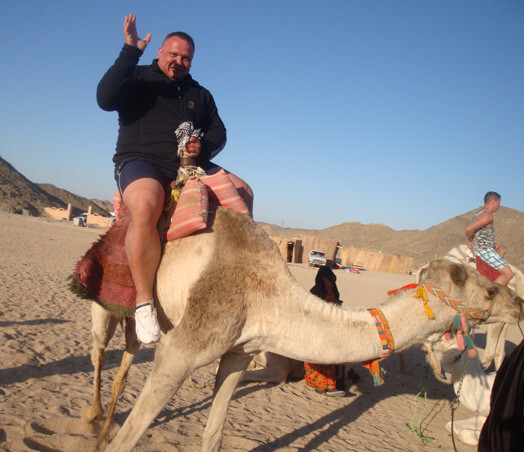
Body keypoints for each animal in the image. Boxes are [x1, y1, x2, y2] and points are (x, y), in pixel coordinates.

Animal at [84, 207, 520, 450]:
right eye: (488, 287)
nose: (517, 303)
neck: (269, 297)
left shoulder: (239, 352)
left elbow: (213, 435)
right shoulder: (181, 349)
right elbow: (129, 439)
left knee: (127, 358)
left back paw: (100, 429)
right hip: (104, 296)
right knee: (99, 350)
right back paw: (92, 416)